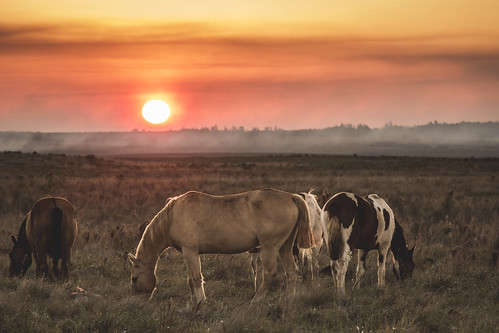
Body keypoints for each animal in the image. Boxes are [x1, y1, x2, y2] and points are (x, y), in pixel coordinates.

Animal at [129, 188, 316, 302]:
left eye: (134, 278)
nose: (137, 303)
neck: (173, 216)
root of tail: (292, 196)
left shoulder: (190, 251)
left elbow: (196, 278)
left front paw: (200, 303)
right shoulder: (188, 253)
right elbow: (190, 279)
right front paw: (192, 303)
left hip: (270, 248)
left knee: (270, 274)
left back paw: (255, 302)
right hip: (285, 247)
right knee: (292, 273)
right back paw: (288, 301)